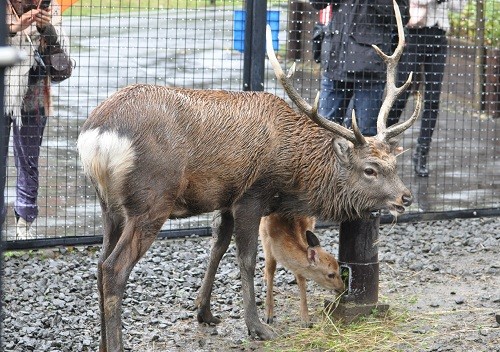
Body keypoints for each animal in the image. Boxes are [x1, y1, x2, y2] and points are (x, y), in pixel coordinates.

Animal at [76, 0, 416, 350]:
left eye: (393, 162)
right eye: (370, 169)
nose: (406, 197)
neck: (293, 171)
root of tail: (95, 138)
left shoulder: (226, 199)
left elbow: (217, 248)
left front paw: (205, 312)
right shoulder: (253, 194)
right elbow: (247, 258)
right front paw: (257, 326)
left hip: (110, 206)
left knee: (100, 264)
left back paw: (103, 343)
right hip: (151, 200)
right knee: (113, 268)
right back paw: (116, 343)